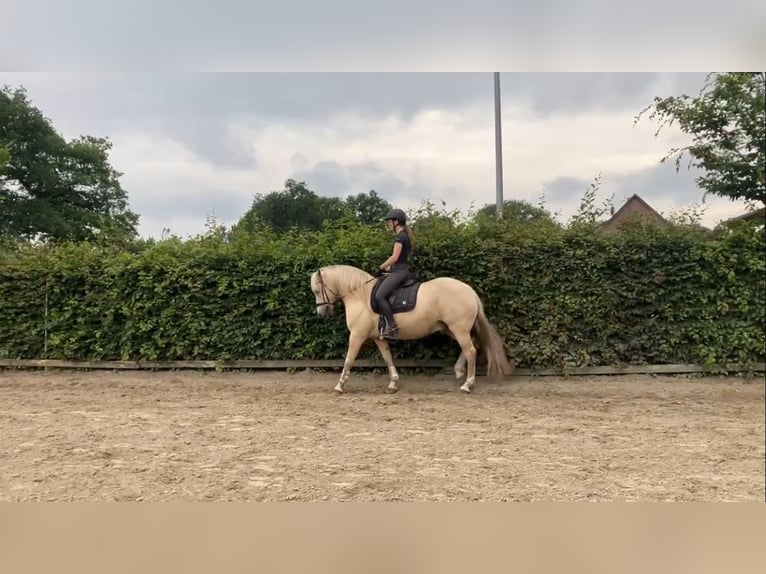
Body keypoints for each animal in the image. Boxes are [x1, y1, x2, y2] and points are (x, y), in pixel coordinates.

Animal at [310, 264, 514, 394]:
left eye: (317, 290)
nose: (321, 312)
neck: (360, 295)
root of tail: (469, 291)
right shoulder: (378, 337)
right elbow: (387, 357)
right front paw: (393, 383)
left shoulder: (357, 335)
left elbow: (349, 360)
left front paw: (339, 385)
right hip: (450, 329)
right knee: (473, 346)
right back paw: (458, 371)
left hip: (459, 329)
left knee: (470, 350)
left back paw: (467, 384)